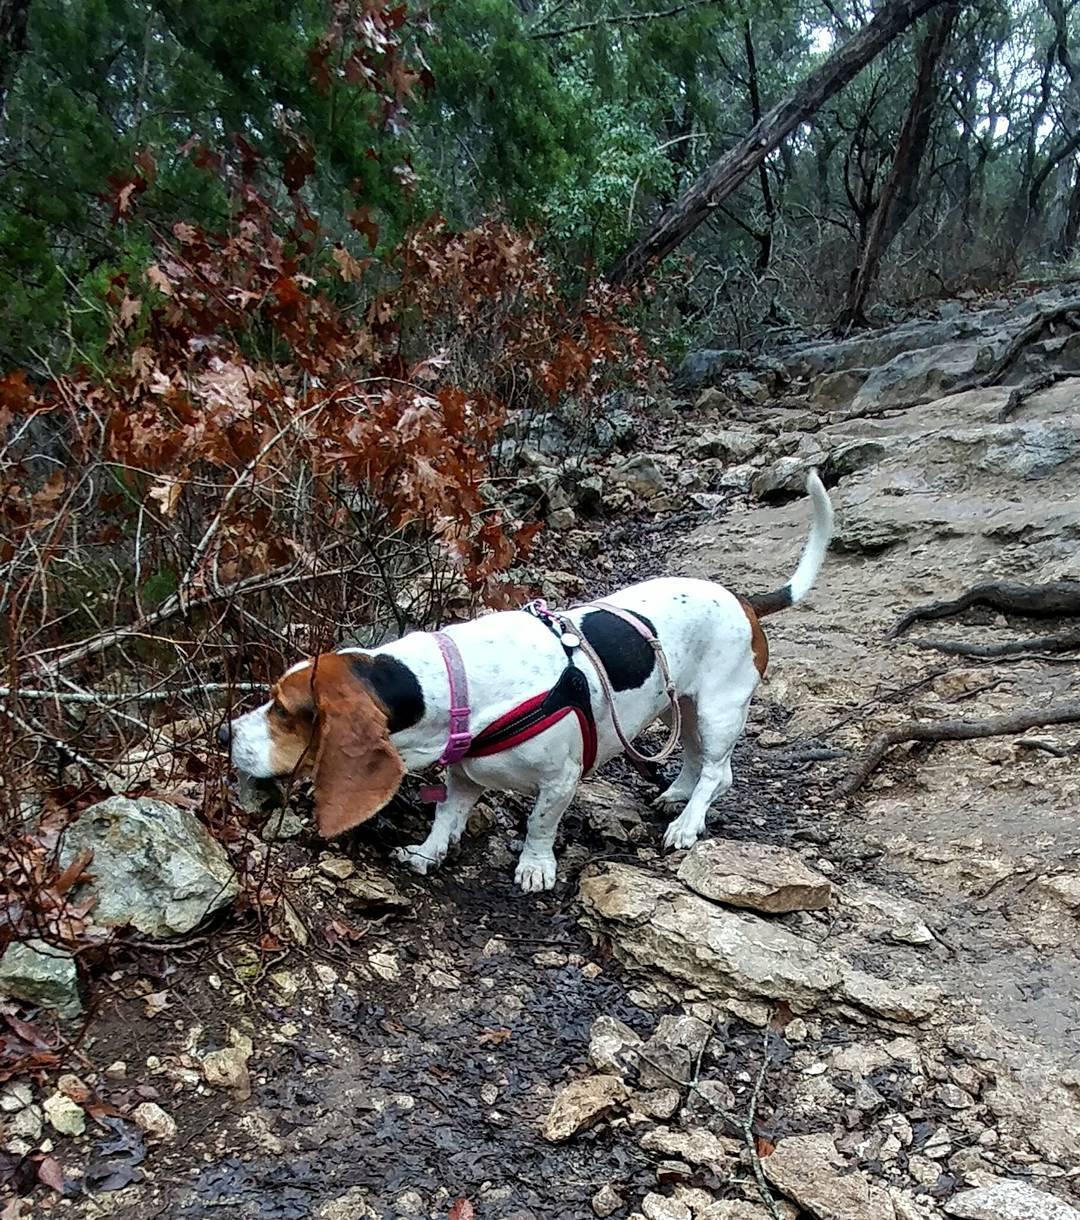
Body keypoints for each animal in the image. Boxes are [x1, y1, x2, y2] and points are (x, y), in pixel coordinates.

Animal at [219, 470, 834, 893]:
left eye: (281, 709)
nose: (225, 734)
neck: (454, 688)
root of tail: (744, 600)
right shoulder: (462, 775)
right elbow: (446, 816)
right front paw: (427, 852)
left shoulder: (560, 780)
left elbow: (540, 823)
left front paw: (535, 866)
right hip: (674, 705)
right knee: (691, 757)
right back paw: (676, 796)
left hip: (720, 707)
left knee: (718, 771)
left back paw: (688, 821)